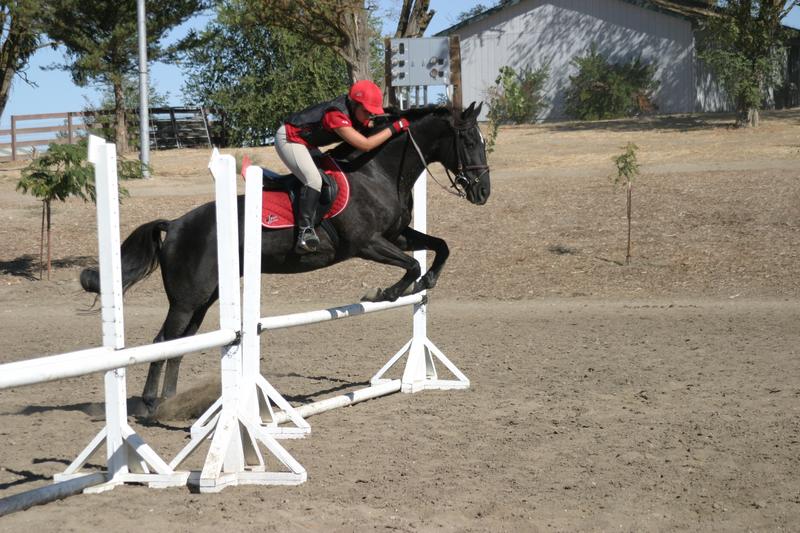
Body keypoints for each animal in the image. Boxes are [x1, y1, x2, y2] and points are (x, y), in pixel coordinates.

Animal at [80, 102, 491, 407]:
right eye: (469, 139)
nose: (483, 192)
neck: (378, 172)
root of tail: (176, 224)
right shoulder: (367, 243)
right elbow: (410, 264)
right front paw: (386, 292)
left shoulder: (397, 235)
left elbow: (439, 246)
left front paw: (426, 282)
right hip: (187, 298)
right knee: (163, 340)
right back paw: (151, 402)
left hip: (204, 298)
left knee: (181, 343)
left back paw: (169, 401)